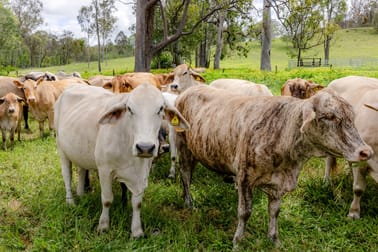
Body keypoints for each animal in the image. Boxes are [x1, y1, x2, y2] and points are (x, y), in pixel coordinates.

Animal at [174, 85, 372, 247]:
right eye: (329, 116)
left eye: (352, 117)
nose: (366, 152)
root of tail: (188, 90)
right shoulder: (244, 178)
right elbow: (244, 212)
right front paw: (237, 241)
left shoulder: (278, 184)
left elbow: (274, 212)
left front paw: (274, 239)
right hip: (182, 144)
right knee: (185, 174)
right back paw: (189, 202)